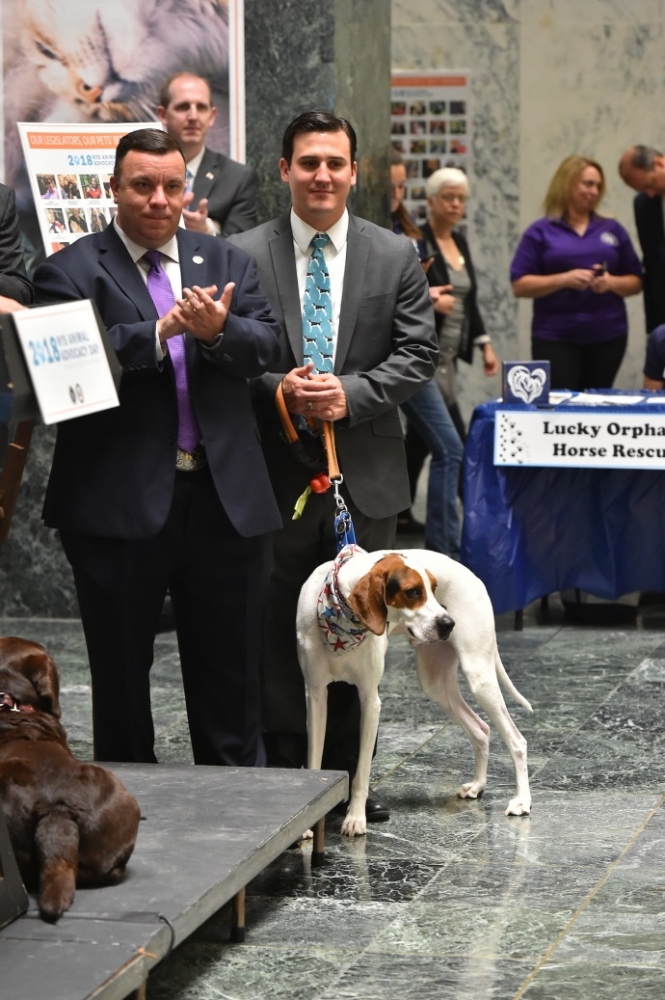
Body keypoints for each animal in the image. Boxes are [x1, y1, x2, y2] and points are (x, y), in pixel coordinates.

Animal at [298, 548, 532, 836]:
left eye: (434, 588)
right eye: (412, 592)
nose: (448, 622)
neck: (340, 612)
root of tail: (476, 577)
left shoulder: (370, 699)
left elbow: (361, 771)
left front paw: (355, 818)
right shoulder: (316, 695)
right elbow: (314, 758)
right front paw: (308, 824)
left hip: (479, 675)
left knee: (516, 741)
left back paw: (522, 801)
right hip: (436, 683)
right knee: (481, 729)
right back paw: (478, 785)